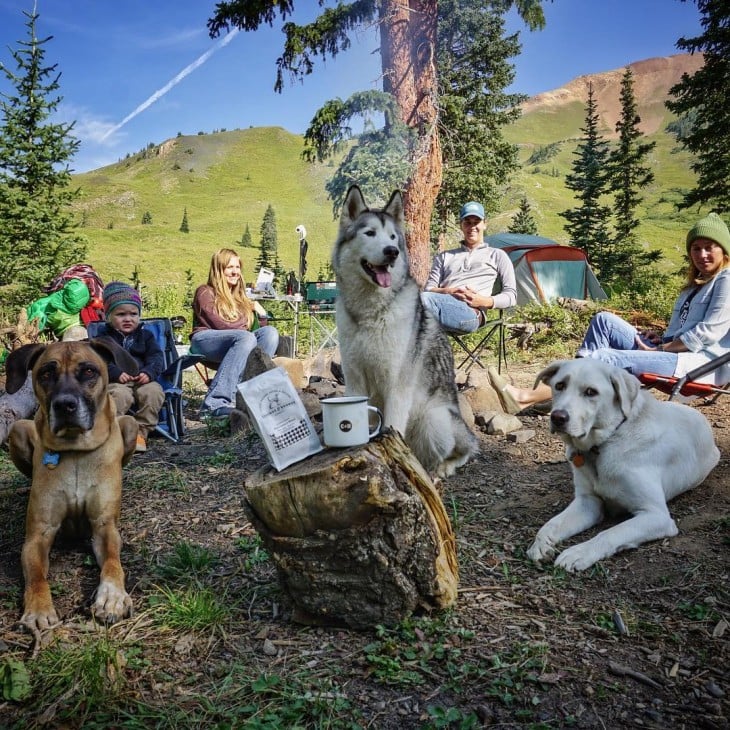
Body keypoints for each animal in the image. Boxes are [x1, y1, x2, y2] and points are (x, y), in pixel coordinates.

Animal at [5, 338, 139, 628]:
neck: (75, 449)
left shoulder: (104, 526)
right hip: (16, 430)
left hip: (130, 424)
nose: (64, 405)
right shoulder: (38, 534)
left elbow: (113, 562)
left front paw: (111, 596)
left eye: (88, 371)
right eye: (46, 373)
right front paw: (38, 608)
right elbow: (36, 576)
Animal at [332, 185, 478, 474]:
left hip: (434, 420)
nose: (392, 252)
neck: (370, 313)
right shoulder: (354, 379)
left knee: (462, 450)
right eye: (370, 233)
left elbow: (391, 423)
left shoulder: (397, 384)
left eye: (392, 237)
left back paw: (441, 469)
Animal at [524, 358, 716, 568]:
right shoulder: (588, 502)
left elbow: (609, 533)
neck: (605, 443)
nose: (557, 417)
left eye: (591, 392)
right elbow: (551, 524)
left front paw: (578, 552)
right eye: (559, 385)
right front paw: (541, 543)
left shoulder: (656, 515)